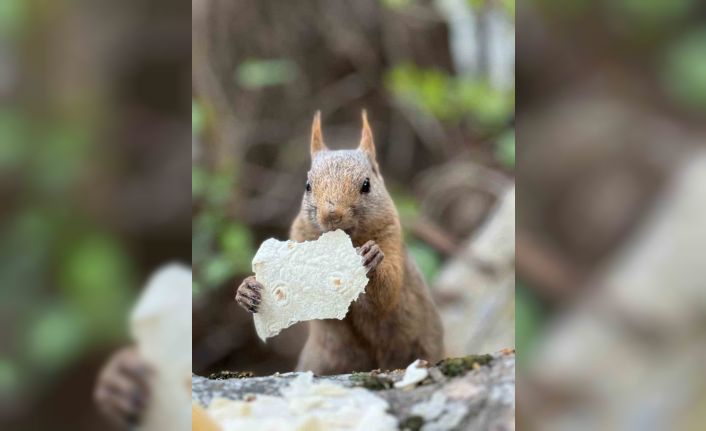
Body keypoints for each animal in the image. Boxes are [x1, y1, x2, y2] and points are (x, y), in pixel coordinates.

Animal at [239, 111, 442, 374]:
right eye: (307, 185)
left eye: (366, 185)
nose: (331, 215)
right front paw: (246, 289)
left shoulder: (392, 238)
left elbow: (388, 293)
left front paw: (372, 258)